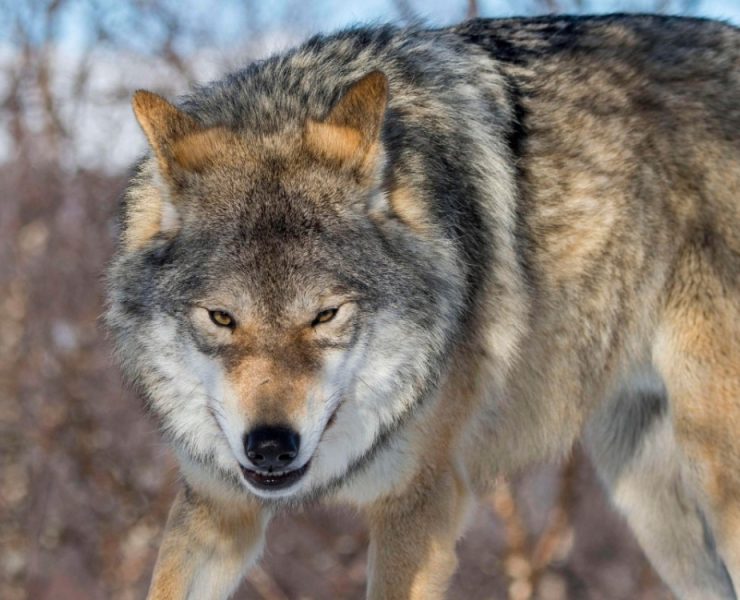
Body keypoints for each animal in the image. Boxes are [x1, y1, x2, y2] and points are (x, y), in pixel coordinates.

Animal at [105, 13, 740, 599]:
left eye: (326, 315)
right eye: (221, 318)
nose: (269, 447)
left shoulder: (419, 502)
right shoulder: (216, 507)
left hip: (713, 467)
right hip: (650, 498)